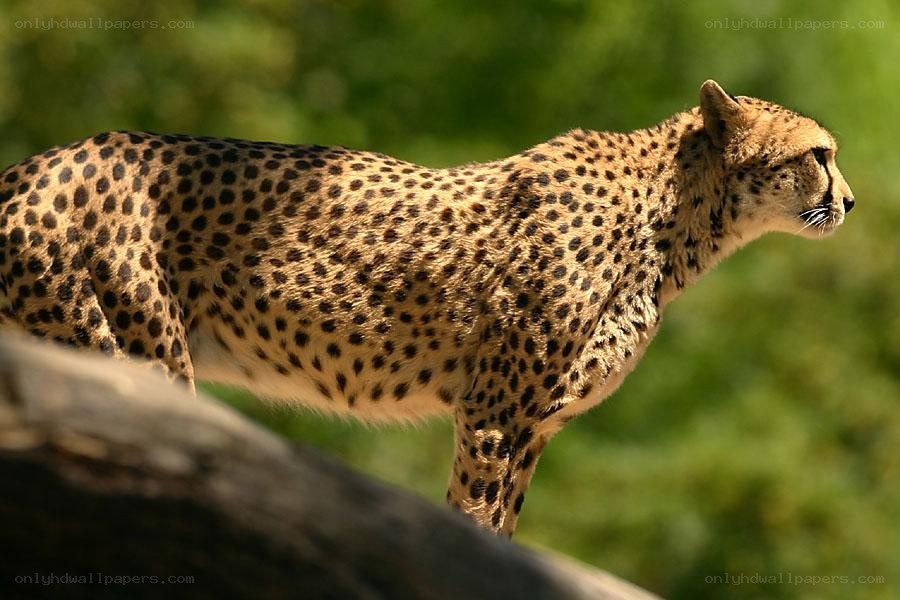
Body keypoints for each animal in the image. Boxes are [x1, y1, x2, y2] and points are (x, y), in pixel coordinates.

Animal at [0, 80, 854, 535]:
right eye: (819, 154)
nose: (849, 200)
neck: (676, 218)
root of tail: (38, 162)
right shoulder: (493, 413)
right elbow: (473, 520)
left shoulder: (531, 426)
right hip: (128, 352)